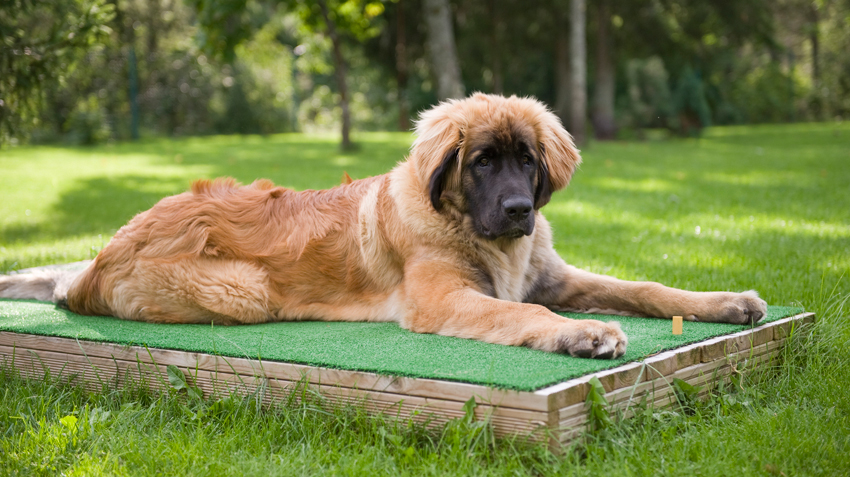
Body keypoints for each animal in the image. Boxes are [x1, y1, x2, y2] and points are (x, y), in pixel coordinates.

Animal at [0, 95, 768, 358]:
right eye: (482, 162)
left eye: (527, 160)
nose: (519, 212)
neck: (473, 229)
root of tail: (106, 253)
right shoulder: (445, 296)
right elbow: (524, 313)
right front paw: (579, 334)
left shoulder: (555, 275)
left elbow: (644, 287)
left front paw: (726, 302)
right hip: (244, 288)